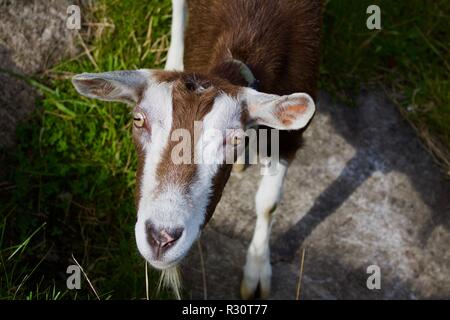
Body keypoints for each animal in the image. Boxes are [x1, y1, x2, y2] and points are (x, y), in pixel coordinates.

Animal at [71, 0, 324, 300]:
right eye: (138, 120)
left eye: (235, 138)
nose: (161, 237)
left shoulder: (289, 135)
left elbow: (268, 203)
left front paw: (257, 271)